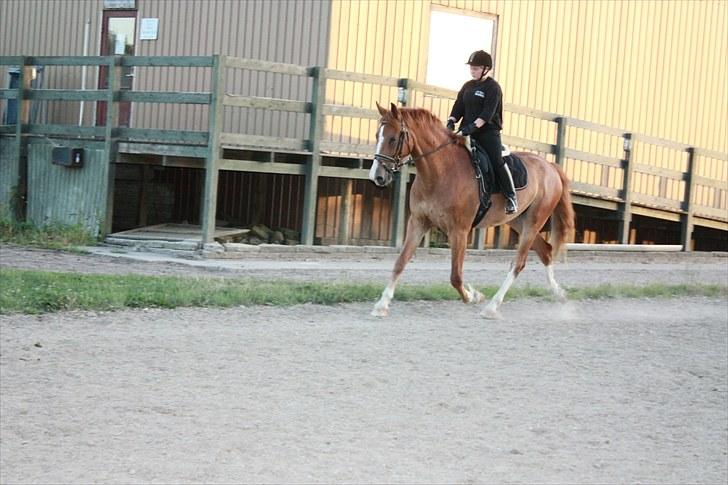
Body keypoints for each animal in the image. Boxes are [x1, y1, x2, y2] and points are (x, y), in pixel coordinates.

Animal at [370, 102, 576, 318]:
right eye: (377, 135)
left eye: (393, 139)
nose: (377, 177)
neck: (440, 171)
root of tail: (551, 167)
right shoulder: (418, 222)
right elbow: (400, 262)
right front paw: (381, 305)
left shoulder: (459, 231)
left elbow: (455, 276)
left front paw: (474, 296)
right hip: (519, 221)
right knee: (546, 251)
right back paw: (559, 294)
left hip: (533, 222)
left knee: (518, 263)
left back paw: (492, 307)